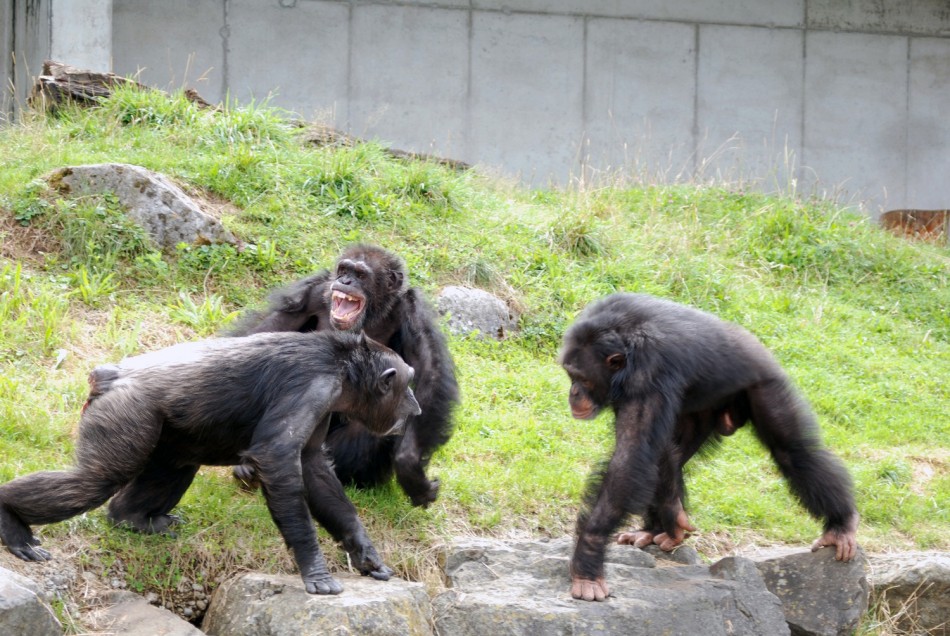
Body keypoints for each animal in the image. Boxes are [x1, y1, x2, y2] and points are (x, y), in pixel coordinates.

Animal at [0, 330, 420, 592]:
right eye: (406, 383)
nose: (415, 406)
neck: (344, 370)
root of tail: (107, 374)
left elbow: (314, 469)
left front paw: (365, 552)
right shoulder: (311, 387)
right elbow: (278, 459)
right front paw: (315, 570)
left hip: (164, 430)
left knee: (174, 466)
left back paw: (134, 519)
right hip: (125, 412)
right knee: (96, 479)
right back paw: (13, 523)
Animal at [227, 243, 458, 506]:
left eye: (361, 275)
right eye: (344, 270)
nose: (345, 281)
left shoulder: (413, 312)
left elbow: (429, 374)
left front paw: (410, 468)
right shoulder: (311, 294)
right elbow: (266, 331)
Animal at [560, 294, 860, 600]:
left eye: (583, 379)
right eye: (570, 374)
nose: (574, 393)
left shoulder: (647, 375)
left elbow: (630, 460)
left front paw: (587, 560)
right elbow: (650, 451)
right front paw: (672, 515)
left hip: (767, 384)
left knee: (792, 451)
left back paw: (841, 525)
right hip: (702, 412)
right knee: (673, 455)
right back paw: (654, 530)